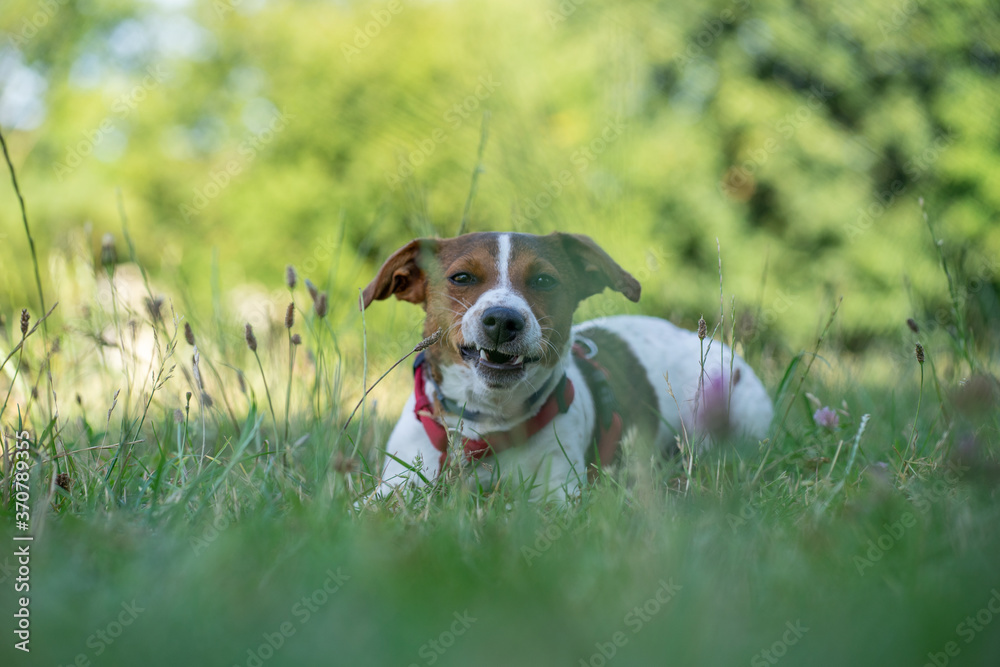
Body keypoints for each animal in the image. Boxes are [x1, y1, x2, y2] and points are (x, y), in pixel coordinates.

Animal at [362, 232, 772, 498]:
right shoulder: (399, 481)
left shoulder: (560, 494)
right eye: (461, 277)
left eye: (544, 280)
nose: (503, 320)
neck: (487, 425)